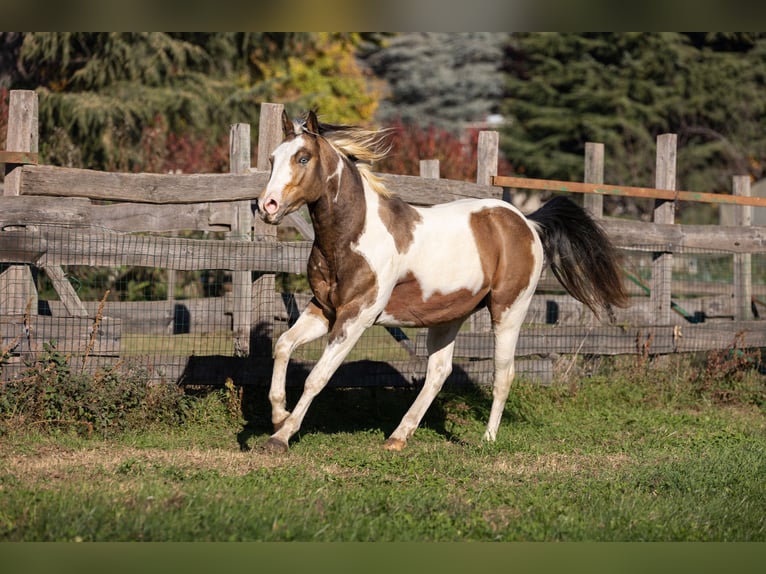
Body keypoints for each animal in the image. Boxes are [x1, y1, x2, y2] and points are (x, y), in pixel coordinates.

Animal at [254, 110, 628, 453]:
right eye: (272, 158)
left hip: (509, 311)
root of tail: (527, 223)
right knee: (438, 372)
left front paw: (280, 437)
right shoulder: (324, 309)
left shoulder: (356, 316)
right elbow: (283, 345)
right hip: (449, 315)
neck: (353, 236)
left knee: (503, 373)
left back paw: (487, 439)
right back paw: (398, 437)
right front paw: (278, 415)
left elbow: (317, 377)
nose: (266, 206)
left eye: (303, 157)